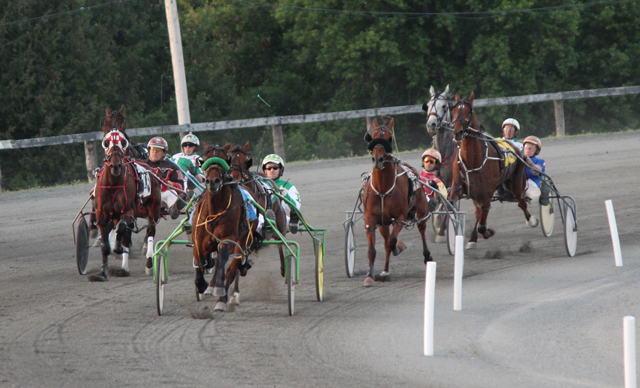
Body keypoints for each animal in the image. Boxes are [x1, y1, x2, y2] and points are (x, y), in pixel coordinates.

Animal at [92, 107, 162, 282]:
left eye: (123, 141)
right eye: (106, 141)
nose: (115, 165)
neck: (114, 182)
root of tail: (151, 169)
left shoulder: (129, 210)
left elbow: (122, 227)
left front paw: (118, 248)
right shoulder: (103, 214)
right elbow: (106, 245)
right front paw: (102, 272)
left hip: (154, 208)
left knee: (150, 230)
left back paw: (149, 263)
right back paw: (124, 265)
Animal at [192, 156, 260, 310]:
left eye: (222, 168)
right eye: (206, 167)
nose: (213, 181)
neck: (214, 212)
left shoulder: (228, 239)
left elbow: (222, 259)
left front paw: (215, 288)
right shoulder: (199, 241)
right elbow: (200, 260)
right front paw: (202, 285)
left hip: (244, 239)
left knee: (231, 268)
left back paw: (221, 299)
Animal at [362, 117, 432, 284]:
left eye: (389, 139)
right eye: (372, 137)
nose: (378, 159)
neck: (382, 188)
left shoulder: (400, 218)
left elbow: (393, 241)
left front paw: (398, 248)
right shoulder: (370, 220)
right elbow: (372, 249)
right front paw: (369, 276)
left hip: (421, 209)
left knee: (421, 228)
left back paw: (427, 256)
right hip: (384, 223)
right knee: (386, 239)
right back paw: (385, 270)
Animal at [450, 91, 536, 249]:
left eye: (469, 111)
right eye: (453, 110)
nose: (457, 132)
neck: (473, 159)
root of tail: (513, 147)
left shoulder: (487, 193)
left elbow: (483, 223)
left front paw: (487, 232)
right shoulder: (459, 188)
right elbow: (456, 206)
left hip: (517, 182)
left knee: (521, 201)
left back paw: (531, 220)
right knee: (479, 212)